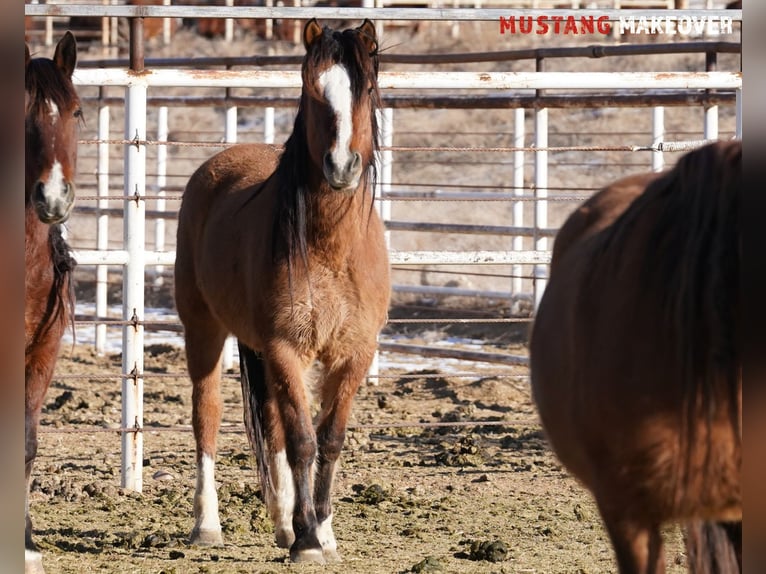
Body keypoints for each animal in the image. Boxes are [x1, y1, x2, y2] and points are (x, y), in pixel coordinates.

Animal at [175, 19, 390, 568]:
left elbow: (329, 439)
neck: (331, 247)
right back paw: (208, 525)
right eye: (313, 90)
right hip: (205, 330)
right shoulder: (286, 348)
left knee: (270, 422)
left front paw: (322, 532)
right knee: (207, 415)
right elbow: (302, 441)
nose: (341, 165)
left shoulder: (354, 353)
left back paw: (282, 522)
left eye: (366, 90)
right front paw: (309, 541)